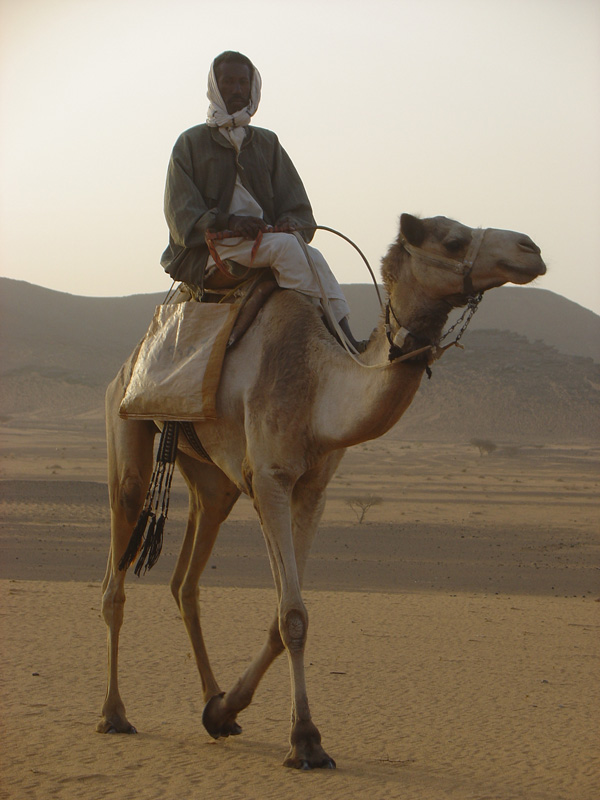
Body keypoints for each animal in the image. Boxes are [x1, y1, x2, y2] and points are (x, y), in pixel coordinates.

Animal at [97, 213, 546, 769]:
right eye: (453, 238)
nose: (530, 249)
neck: (318, 388)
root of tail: (131, 360)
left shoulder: (312, 488)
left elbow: (281, 618)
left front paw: (226, 711)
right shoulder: (269, 478)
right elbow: (292, 614)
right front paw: (306, 740)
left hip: (210, 478)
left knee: (186, 580)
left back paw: (212, 701)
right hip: (126, 423)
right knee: (118, 563)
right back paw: (114, 713)